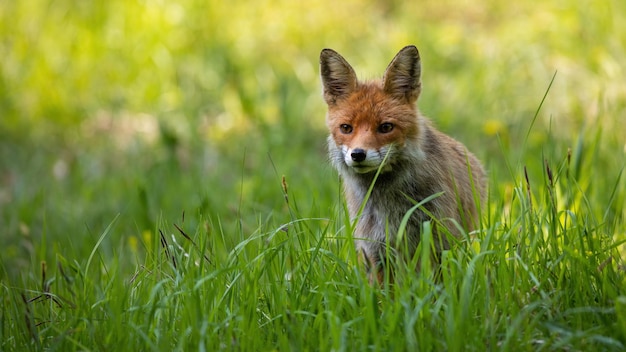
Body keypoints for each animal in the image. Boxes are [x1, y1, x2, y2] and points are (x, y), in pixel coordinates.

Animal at [320, 44, 486, 284]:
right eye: (346, 128)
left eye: (386, 127)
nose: (358, 154)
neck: (388, 201)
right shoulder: (375, 248)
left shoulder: (438, 241)